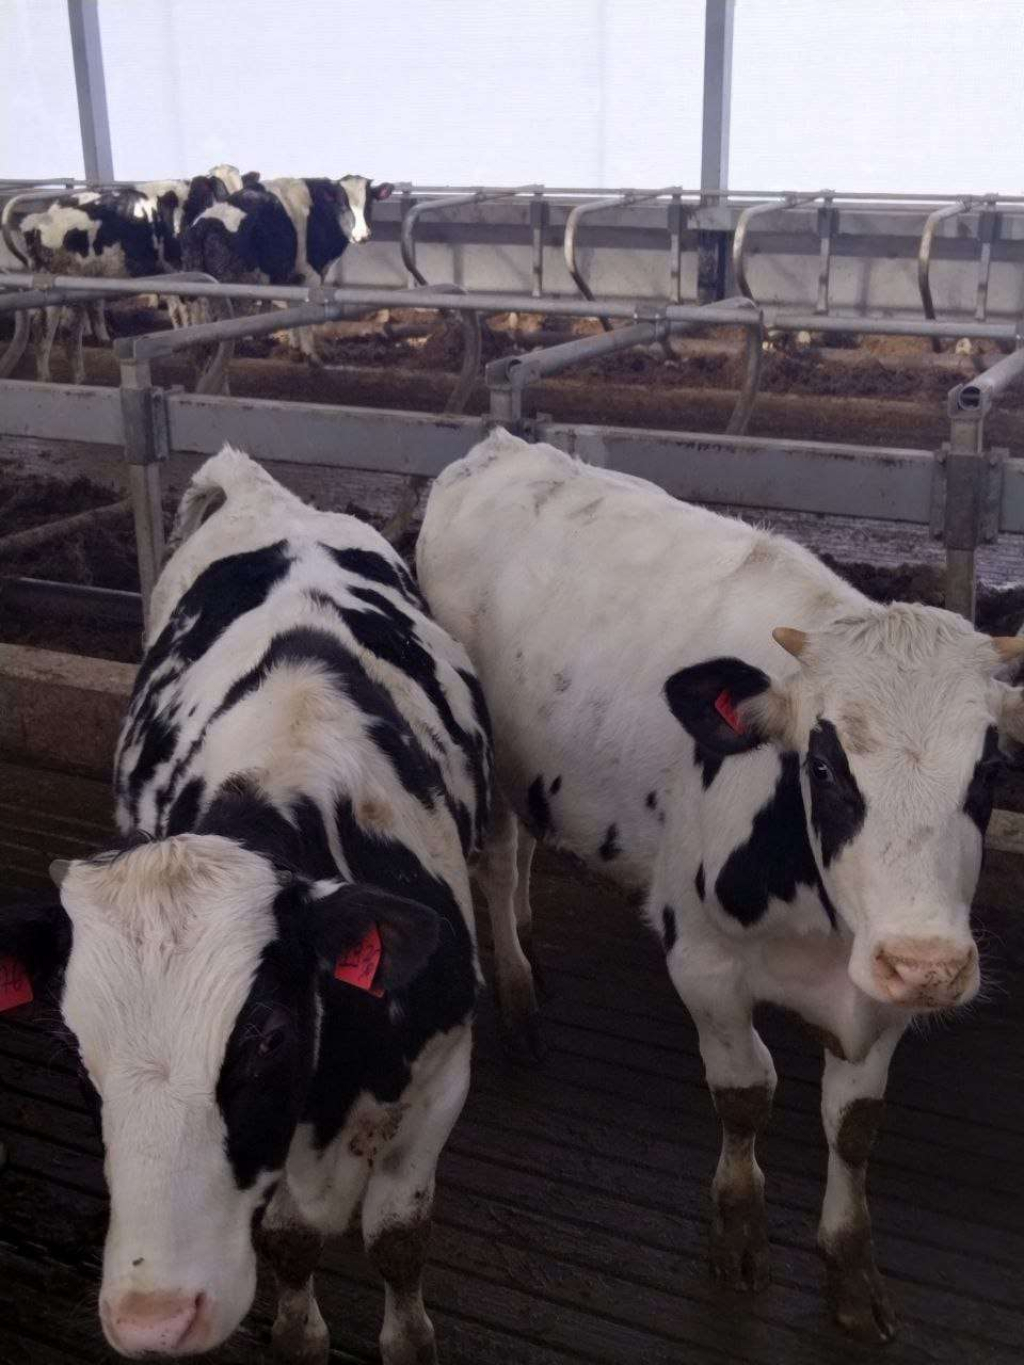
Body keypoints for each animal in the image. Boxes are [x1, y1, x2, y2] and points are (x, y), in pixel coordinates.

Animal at [0, 446, 491, 1362]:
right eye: (75, 1053)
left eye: (267, 1036)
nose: (153, 1318)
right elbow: (291, 1240)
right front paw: (299, 1331)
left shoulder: (442, 1077)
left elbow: (398, 1240)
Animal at [182, 175, 393, 364]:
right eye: (343, 205)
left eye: (369, 204)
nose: (362, 235)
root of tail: (205, 225)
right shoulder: (311, 275)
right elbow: (305, 316)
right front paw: (311, 355)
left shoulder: (291, 277)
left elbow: (292, 310)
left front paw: (295, 348)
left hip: (197, 288)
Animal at [416, 427, 1024, 1343]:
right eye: (823, 764)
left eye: (990, 769)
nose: (929, 964)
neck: (817, 919)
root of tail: (502, 445)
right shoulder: (700, 962)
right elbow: (746, 1096)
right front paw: (737, 1235)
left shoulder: (877, 990)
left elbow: (854, 1127)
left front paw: (851, 1269)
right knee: (492, 860)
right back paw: (519, 1000)